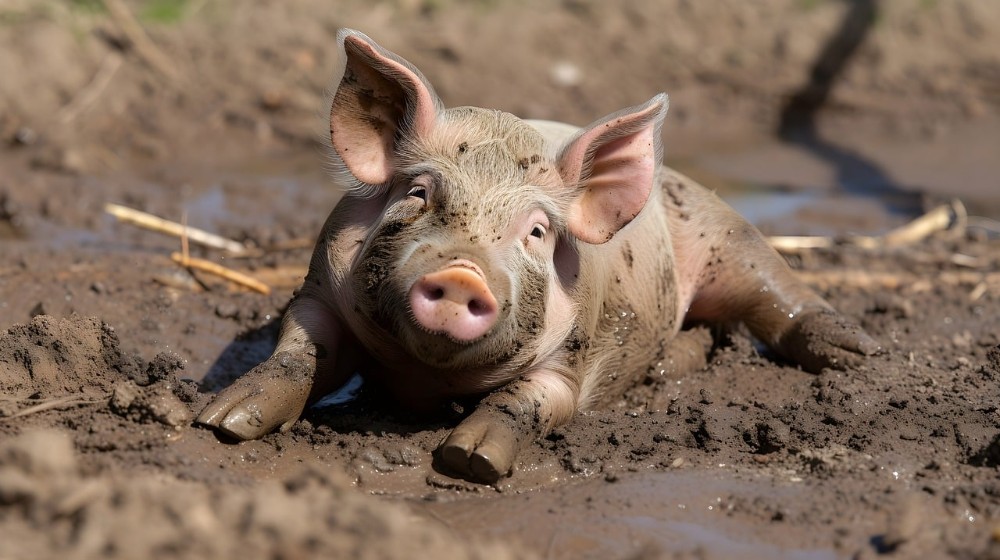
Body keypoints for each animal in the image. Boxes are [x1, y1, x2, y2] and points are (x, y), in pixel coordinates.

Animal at [197, 28, 884, 482]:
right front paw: (222, 421)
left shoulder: (569, 363)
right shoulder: (319, 292)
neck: (430, 378)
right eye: (419, 194)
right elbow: (298, 354)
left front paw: (468, 462)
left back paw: (860, 356)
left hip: (724, 236)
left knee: (774, 291)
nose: (461, 272)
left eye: (535, 232)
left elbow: (525, 400)